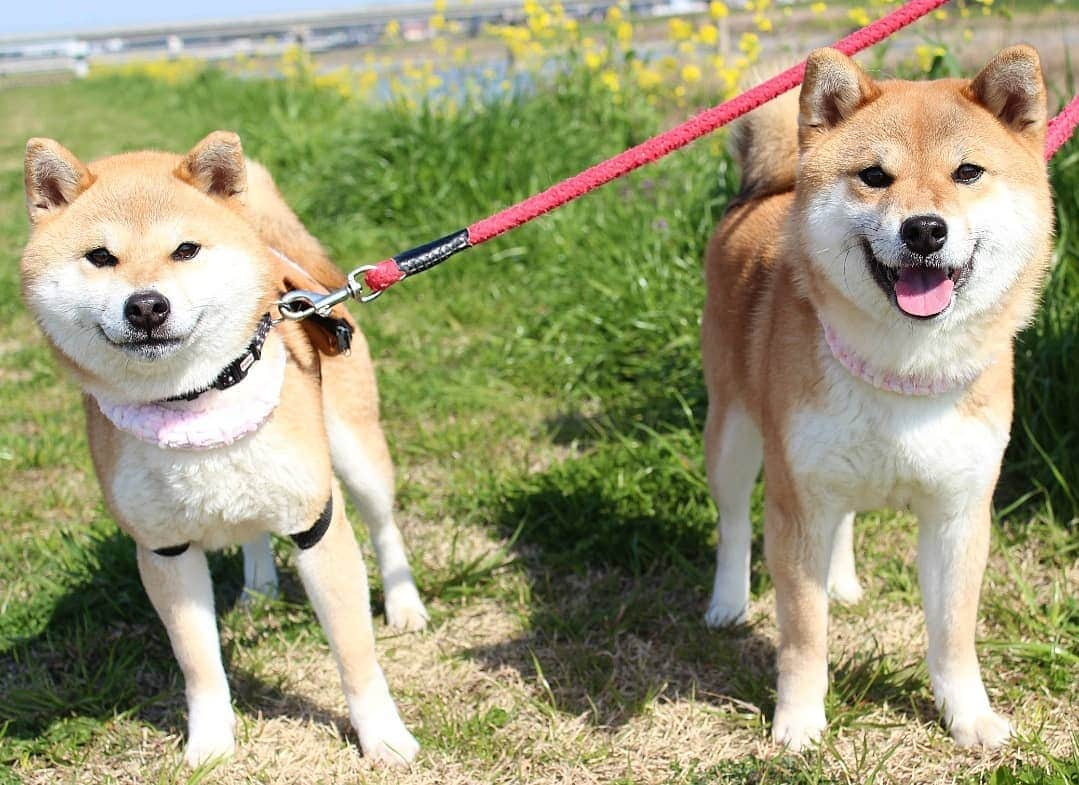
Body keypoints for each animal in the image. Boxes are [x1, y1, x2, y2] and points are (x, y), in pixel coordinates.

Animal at [19, 130, 427, 767]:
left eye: (186, 250)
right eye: (100, 257)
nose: (146, 305)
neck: (192, 401)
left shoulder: (315, 525)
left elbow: (355, 656)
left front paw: (383, 737)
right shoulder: (164, 547)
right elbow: (200, 664)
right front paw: (210, 745)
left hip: (355, 451)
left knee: (384, 525)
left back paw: (405, 604)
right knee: (250, 528)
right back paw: (259, 589)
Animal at [699, 46, 1053, 750]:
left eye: (967, 172)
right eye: (873, 176)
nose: (924, 230)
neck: (904, 370)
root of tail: (765, 190)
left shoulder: (958, 513)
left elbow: (953, 633)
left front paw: (968, 716)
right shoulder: (797, 505)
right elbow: (803, 634)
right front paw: (799, 722)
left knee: (844, 522)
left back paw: (842, 583)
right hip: (734, 435)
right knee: (734, 521)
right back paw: (728, 602)